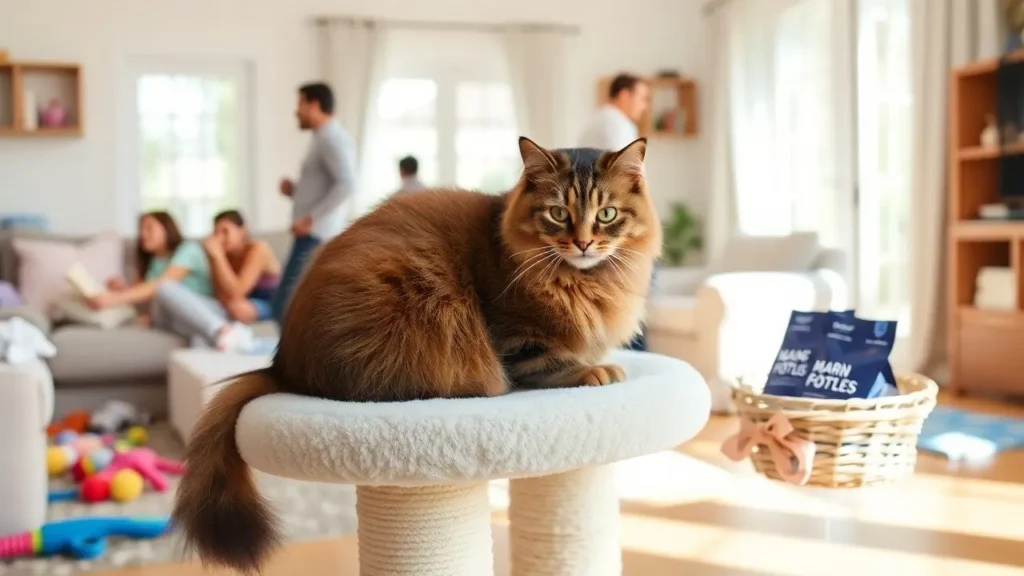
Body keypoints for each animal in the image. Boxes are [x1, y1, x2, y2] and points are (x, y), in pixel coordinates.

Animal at [172, 134, 659, 569]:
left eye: (607, 214)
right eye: (558, 214)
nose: (583, 243)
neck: (583, 281)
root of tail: (283, 364)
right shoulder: (515, 339)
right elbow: (556, 364)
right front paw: (596, 370)